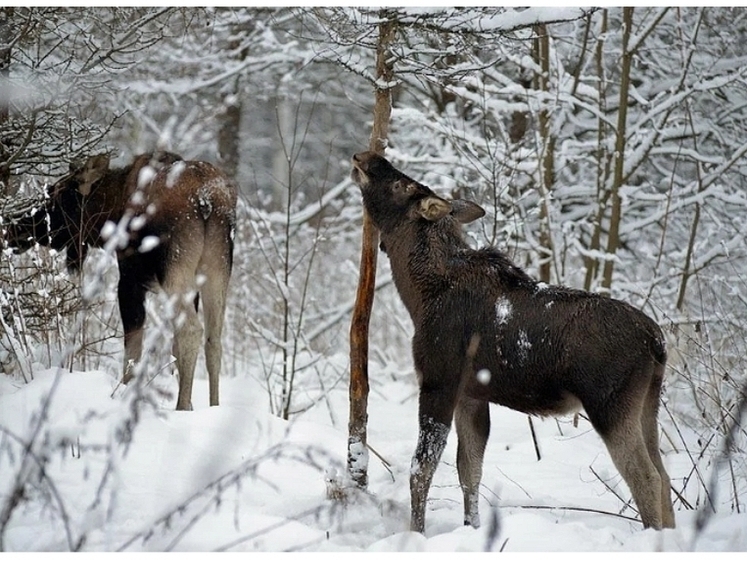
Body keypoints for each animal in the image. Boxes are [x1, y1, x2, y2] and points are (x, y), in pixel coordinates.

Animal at [2, 151, 237, 410]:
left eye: (58, 196)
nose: (15, 231)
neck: (111, 211)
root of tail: (207, 200)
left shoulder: (129, 281)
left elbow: (133, 350)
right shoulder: (191, 290)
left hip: (175, 271)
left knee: (191, 332)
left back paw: (182, 407)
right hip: (217, 271)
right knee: (213, 340)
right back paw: (213, 406)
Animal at [352, 150, 676, 532]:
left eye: (401, 185)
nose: (366, 156)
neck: (419, 295)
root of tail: (658, 343)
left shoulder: (438, 382)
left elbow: (422, 468)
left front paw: (416, 532)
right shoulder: (472, 395)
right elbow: (469, 470)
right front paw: (472, 527)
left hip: (611, 405)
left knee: (645, 477)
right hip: (647, 405)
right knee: (664, 475)